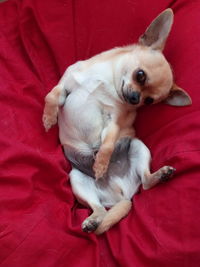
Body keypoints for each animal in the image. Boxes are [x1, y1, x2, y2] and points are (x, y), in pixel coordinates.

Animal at [42, 8, 191, 234]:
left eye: (149, 101)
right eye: (140, 75)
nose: (135, 99)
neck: (105, 82)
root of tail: (120, 194)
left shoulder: (113, 120)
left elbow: (109, 142)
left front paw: (102, 164)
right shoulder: (65, 86)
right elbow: (52, 95)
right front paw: (49, 117)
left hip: (137, 147)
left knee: (145, 183)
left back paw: (160, 175)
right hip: (77, 179)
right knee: (99, 209)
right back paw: (93, 220)